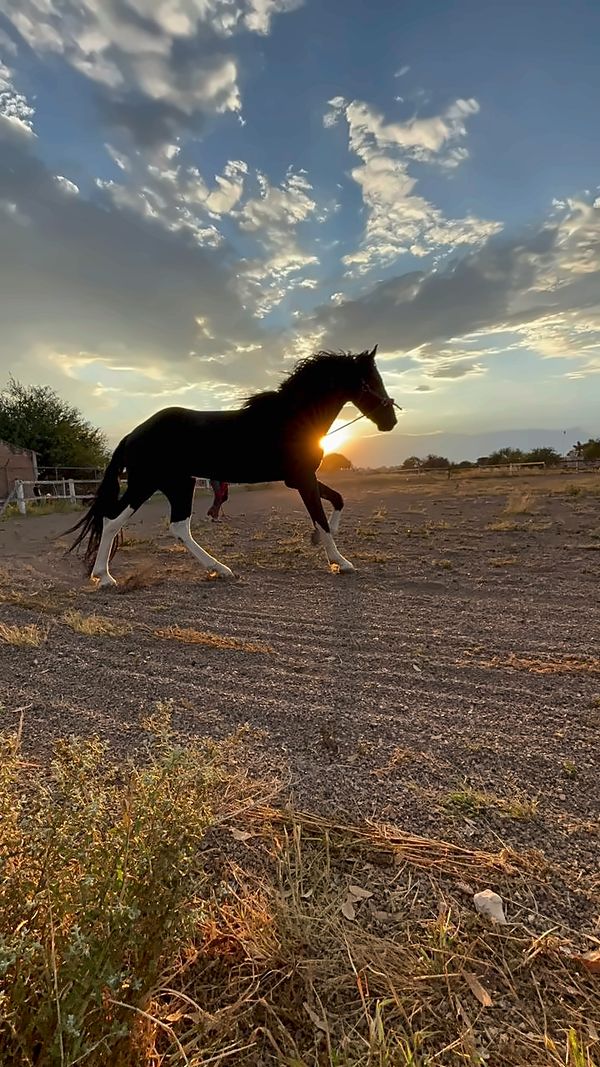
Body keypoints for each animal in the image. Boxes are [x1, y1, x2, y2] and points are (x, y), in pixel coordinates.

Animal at [67, 347, 397, 586]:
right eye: (370, 382)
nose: (391, 421)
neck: (291, 419)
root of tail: (132, 434)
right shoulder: (302, 479)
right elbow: (322, 518)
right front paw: (341, 562)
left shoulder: (299, 478)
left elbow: (337, 501)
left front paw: (318, 542)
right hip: (147, 483)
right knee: (113, 520)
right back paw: (104, 578)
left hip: (179, 484)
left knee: (178, 527)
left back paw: (219, 569)